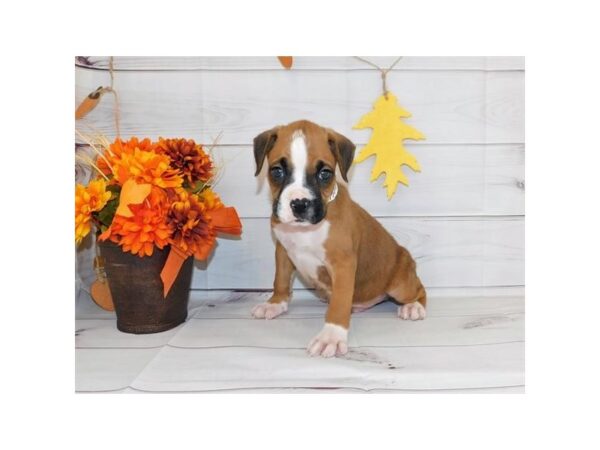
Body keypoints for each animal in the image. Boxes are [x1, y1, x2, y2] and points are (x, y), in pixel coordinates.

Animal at [248, 120, 426, 358]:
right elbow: (281, 280)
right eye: (277, 171)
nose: (300, 204)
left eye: (325, 174)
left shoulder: (342, 264)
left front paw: (331, 336)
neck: (307, 230)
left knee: (420, 289)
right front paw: (275, 303)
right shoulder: (283, 252)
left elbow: (340, 302)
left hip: (401, 285)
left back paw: (414, 306)